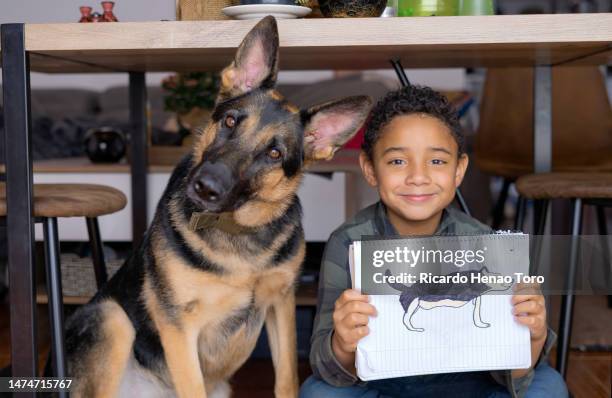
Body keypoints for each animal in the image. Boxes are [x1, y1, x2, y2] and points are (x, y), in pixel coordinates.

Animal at [65, 15, 372, 398]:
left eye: (274, 153)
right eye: (230, 121)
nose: (205, 187)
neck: (237, 231)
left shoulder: (281, 304)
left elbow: (286, 376)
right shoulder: (179, 329)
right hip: (112, 319)